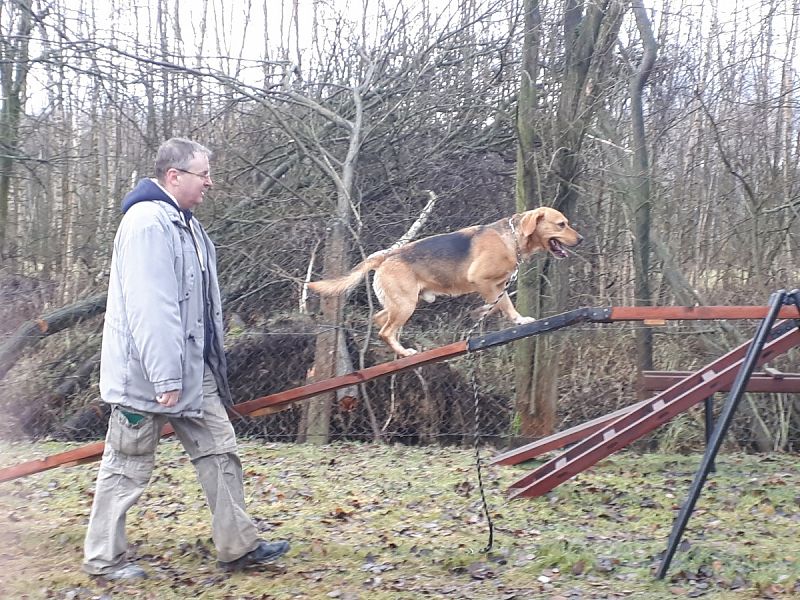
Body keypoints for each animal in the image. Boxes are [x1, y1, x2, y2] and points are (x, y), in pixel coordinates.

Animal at [310, 206, 584, 356]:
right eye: (561, 224)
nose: (581, 239)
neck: (513, 238)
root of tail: (385, 256)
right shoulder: (483, 281)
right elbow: (503, 304)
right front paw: (507, 317)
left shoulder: (496, 286)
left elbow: (499, 304)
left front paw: (490, 313)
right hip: (405, 305)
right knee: (385, 331)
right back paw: (404, 351)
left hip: (400, 304)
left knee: (380, 321)